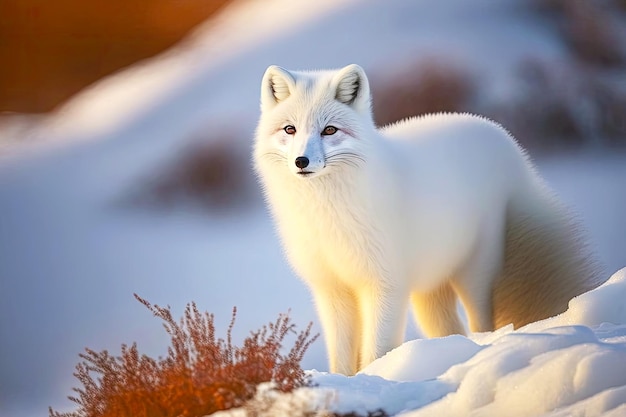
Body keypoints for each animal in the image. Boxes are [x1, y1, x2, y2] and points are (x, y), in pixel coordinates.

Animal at [251, 64, 604, 374]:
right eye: (290, 129)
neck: (325, 215)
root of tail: (506, 141)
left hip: (474, 271)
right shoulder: (332, 290)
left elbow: (377, 350)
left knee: (482, 321)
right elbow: (341, 358)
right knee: (452, 328)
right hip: (429, 295)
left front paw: (378, 377)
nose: (301, 161)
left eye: (329, 130)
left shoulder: (386, 285)